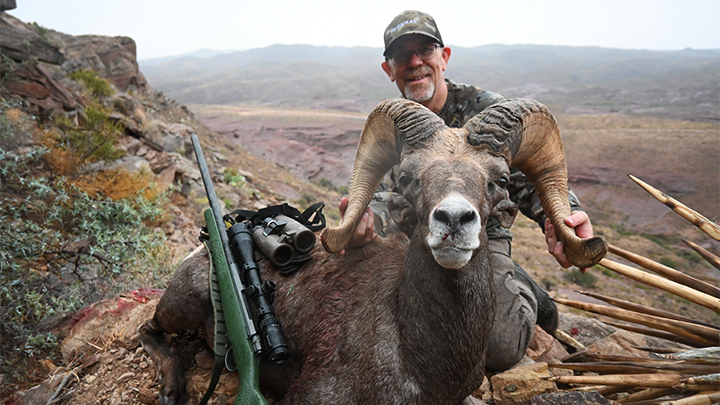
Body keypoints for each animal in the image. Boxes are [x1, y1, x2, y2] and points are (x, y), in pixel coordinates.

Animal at [139, 98, 608, 404]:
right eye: (410, 177)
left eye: (502, 180)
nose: (454, 220)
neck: (418, 355)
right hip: (180, 307)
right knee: (149, 331)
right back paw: (171, 389)